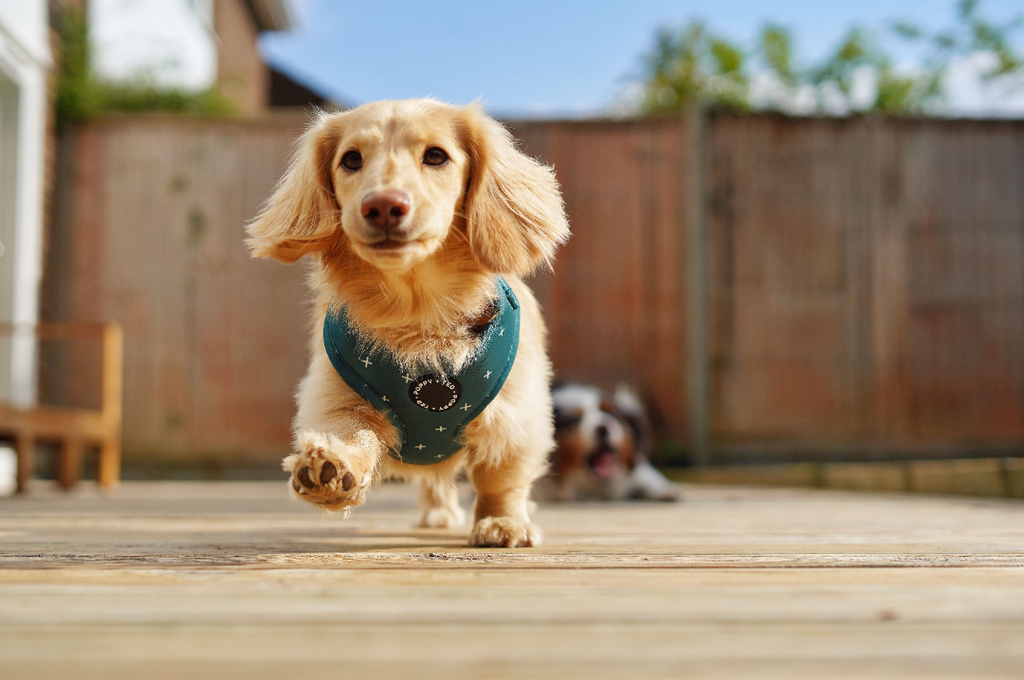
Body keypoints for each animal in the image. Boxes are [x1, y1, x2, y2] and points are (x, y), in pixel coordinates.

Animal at [244, 99, 573, 548]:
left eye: (436, 155)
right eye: (351, 159)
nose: (383, 205)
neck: (416, 317)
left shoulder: (514, 414)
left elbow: (500, 477)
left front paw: (502, 522)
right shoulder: (338, 395)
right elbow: (353, 433)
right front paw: (332, 469)